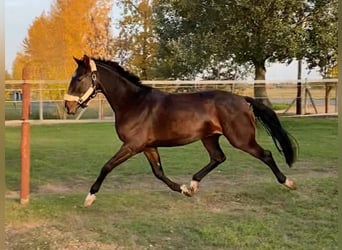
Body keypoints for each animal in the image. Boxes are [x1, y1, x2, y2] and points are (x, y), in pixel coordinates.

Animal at [63, 54, 296, 207]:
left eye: (79, 78)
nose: (68, 107)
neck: (134, 103)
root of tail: (243, 100)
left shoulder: (132, 145)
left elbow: (107, 166)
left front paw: (89, 197)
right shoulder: (147, 146)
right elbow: (158, 173)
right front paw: (183, 189)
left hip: (241, 139)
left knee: (266, 155)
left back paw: (288, 182)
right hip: (210, 137)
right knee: (218, 157)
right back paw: (193, 185)